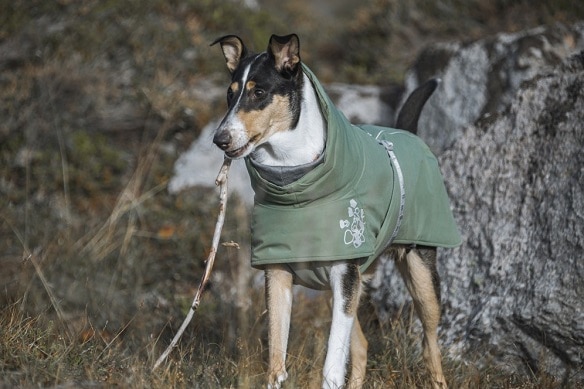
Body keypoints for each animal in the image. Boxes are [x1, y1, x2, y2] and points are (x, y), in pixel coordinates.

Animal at [210, 34, 460, 388]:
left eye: (259, 93)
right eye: (230, 94)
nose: (220, 139)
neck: (293, 180)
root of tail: (408, 132)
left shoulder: (344, 274)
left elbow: (331, 364)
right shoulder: (278, 274)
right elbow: (276, 357)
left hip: (420, 277)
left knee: (430, 346)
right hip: (344, 289)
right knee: (362, 347)